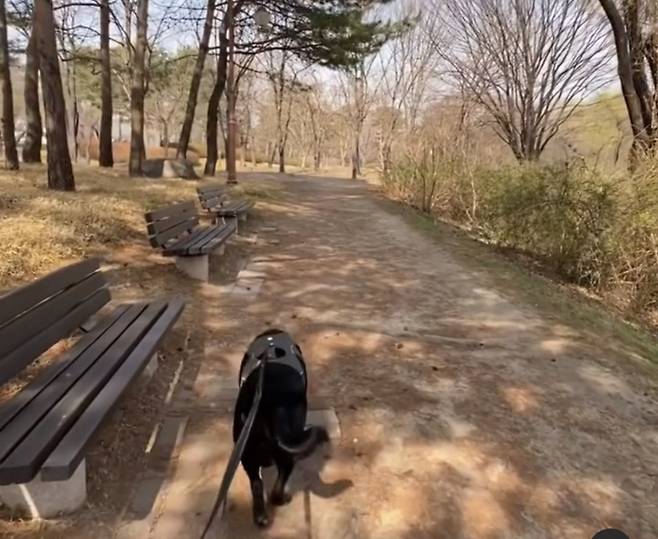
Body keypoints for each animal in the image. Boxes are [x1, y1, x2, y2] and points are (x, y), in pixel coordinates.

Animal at [233, 330, 330, 528]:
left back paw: (261, 516)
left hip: (248, 457)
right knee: (278, 484)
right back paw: (280, 499)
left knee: (256, 485)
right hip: (286, 456)